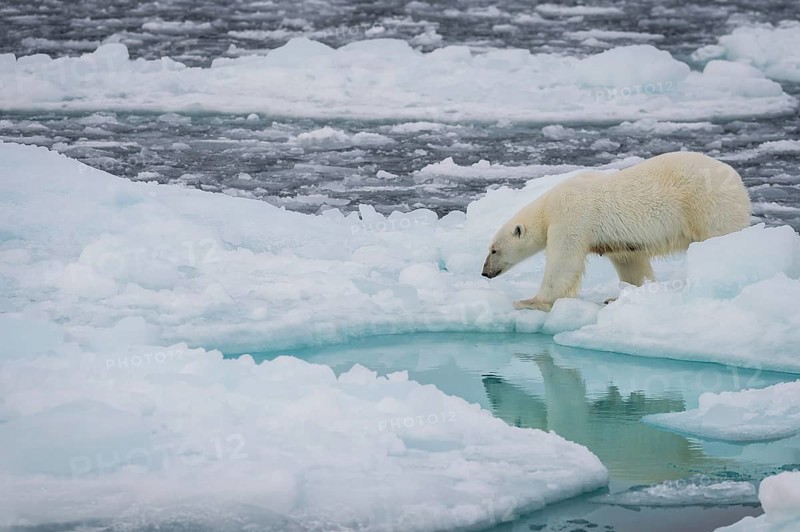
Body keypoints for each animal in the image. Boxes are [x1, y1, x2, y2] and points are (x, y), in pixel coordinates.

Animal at [481, 151, 751, 311]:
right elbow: (631, 262)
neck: (547, 207)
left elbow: (563, 262)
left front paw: (528, 301)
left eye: (493, 250)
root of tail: (738, 181)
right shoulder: (621, 242)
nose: (485, 272)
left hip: (707, 205)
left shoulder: (571, 215)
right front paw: (620, 296)